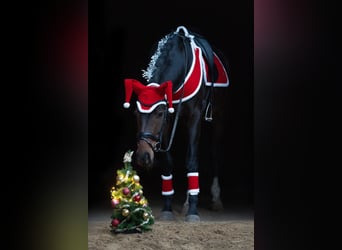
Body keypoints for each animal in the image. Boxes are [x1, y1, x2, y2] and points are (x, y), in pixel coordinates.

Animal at [123, 24, 230, 221]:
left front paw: (193, 211)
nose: (143, 156)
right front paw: (167, 208)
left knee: (214, 153)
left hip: (219, 117)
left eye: (159, 113)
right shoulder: (170, 119)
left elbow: (192, 160)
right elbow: (168, 162)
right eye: (135, 113)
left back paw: (215, 199)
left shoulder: (193, 116)